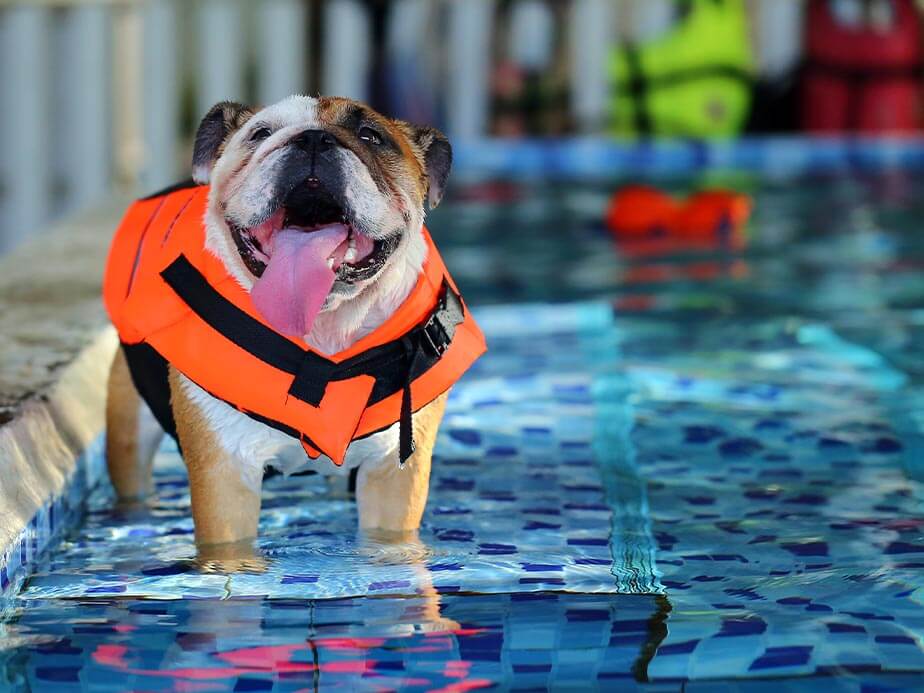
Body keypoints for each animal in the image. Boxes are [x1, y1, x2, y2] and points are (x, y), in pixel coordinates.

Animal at [103, 96, 476, 556]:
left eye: (371, 136)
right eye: (261, 133)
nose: (313, 139)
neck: (324, 326)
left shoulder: (394, 474)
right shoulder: (225, 475)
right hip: (128, 433)